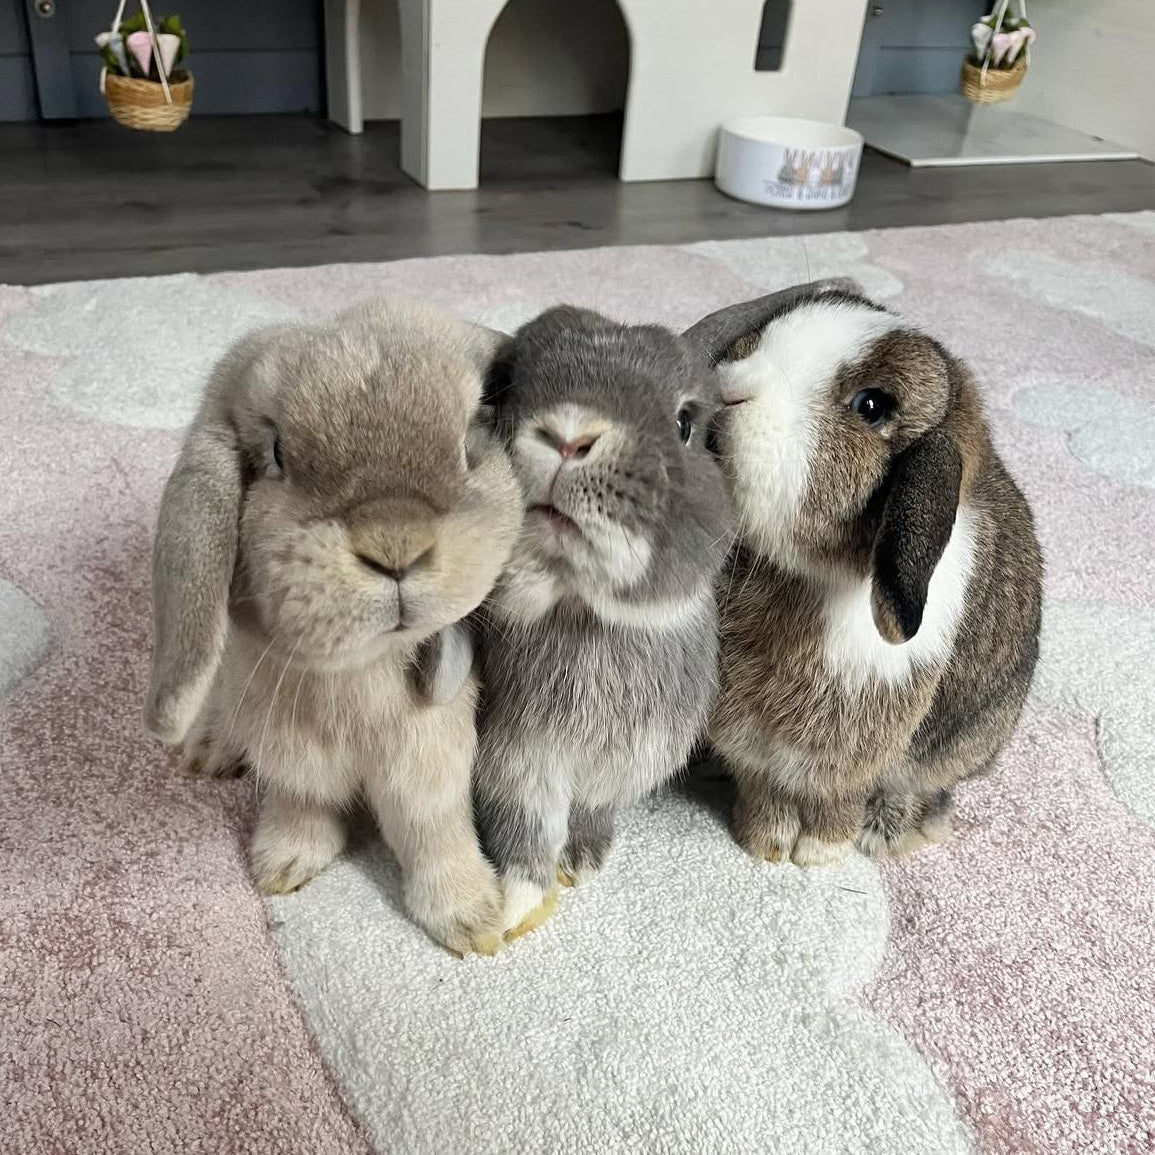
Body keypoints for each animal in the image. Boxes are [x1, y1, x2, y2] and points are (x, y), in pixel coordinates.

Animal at [145, 298, 523, 955]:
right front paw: (282, 865)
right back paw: (210, 749)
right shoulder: (291, 756)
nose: (394, 544)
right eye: (276, 454)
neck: (354, 675)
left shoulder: (429, 761)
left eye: (470, 439)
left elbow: (432, 830)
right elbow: (302, 804)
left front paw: (472, 919)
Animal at [472, 306, 733, 939]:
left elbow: (589, 814)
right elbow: (522, 833)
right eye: (504, 387)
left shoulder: (618, 769)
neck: (578, 608)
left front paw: (583, 861)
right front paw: (516, 907)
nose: (569, 435)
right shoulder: (514, 765)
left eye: (685, 423)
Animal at [684, 281, 1043, 866]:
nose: (728, 392)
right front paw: (765, 842)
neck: (798, 573)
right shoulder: (750, 740)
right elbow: (762, 788)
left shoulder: (846, 750)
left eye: (872, 406)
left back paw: (893, 830)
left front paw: (816, 851)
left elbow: (833, 798)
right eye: (761, 334)